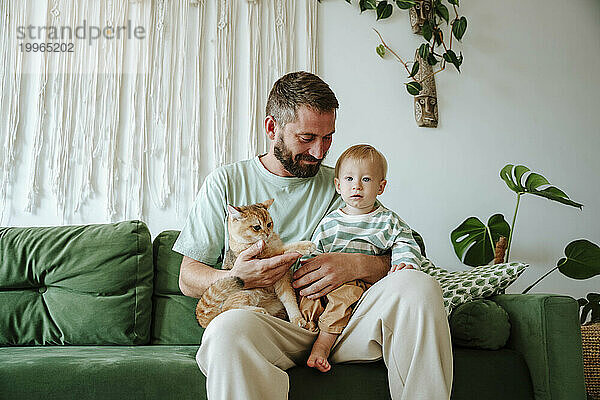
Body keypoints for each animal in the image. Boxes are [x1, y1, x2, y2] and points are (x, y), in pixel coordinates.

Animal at [197, 199, 316, 328]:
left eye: (269, 224)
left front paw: (297, 318)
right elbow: (286, 248)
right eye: (257, 227)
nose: (268, 233)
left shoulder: (283, 281)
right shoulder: (271, 256)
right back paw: (259, 310)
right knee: (227, 308)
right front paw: (306, 245)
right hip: (246, 292)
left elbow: (290, 300)